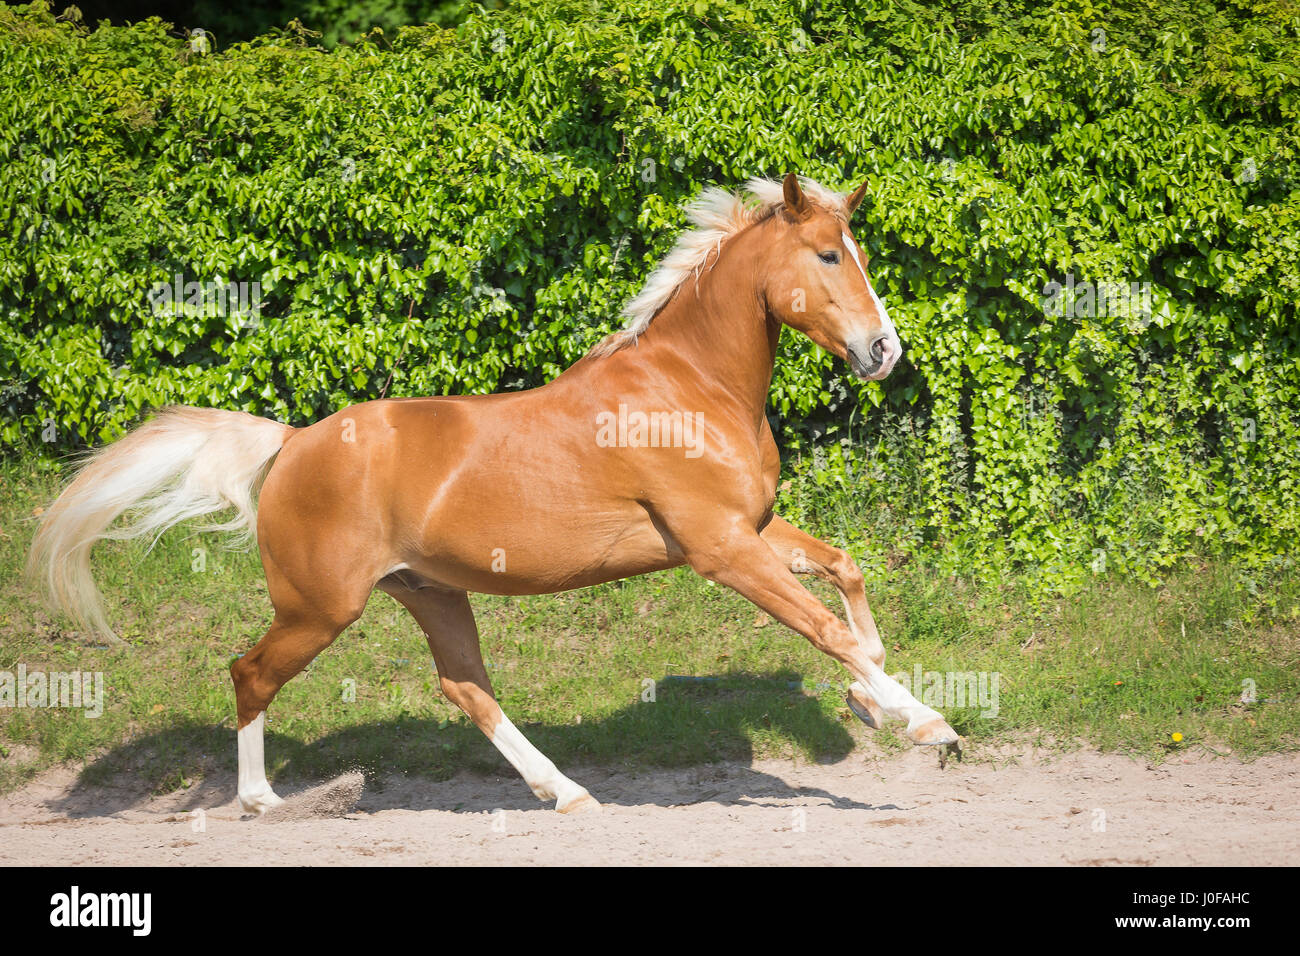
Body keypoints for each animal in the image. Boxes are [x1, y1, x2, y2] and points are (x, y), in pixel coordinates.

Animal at [28, 173, 959, 815]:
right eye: (829, 255)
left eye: (860, 254)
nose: (885, 351)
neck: (687, 388)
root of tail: (291, 443)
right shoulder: (718, 547)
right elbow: (826, 629)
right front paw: (926, 724)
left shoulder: (752, 527)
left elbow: (846, 577)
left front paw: (878, 706)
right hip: (319, 609)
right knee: (250, 673)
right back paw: (261, 802)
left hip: (431, 592)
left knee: (466, 689)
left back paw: (566, 792)